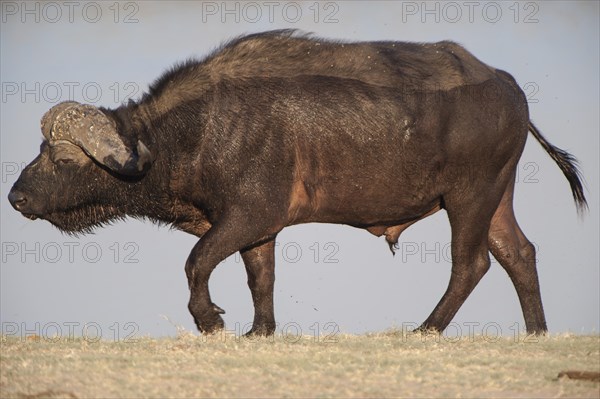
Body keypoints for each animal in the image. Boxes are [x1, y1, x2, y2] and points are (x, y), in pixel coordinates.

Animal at [7, 31, 584, 336]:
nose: (15, 196)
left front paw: (209, 320)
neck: (194, 129)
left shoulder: (247, 216)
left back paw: (426, 328)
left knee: (472, 263)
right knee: (518, 253)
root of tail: (508, 86)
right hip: (496, 197)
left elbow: (196, 261)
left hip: (469, 196)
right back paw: (536, 332)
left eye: (61, 156)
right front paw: (259, 330)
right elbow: (260, 279)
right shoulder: (257, 228)